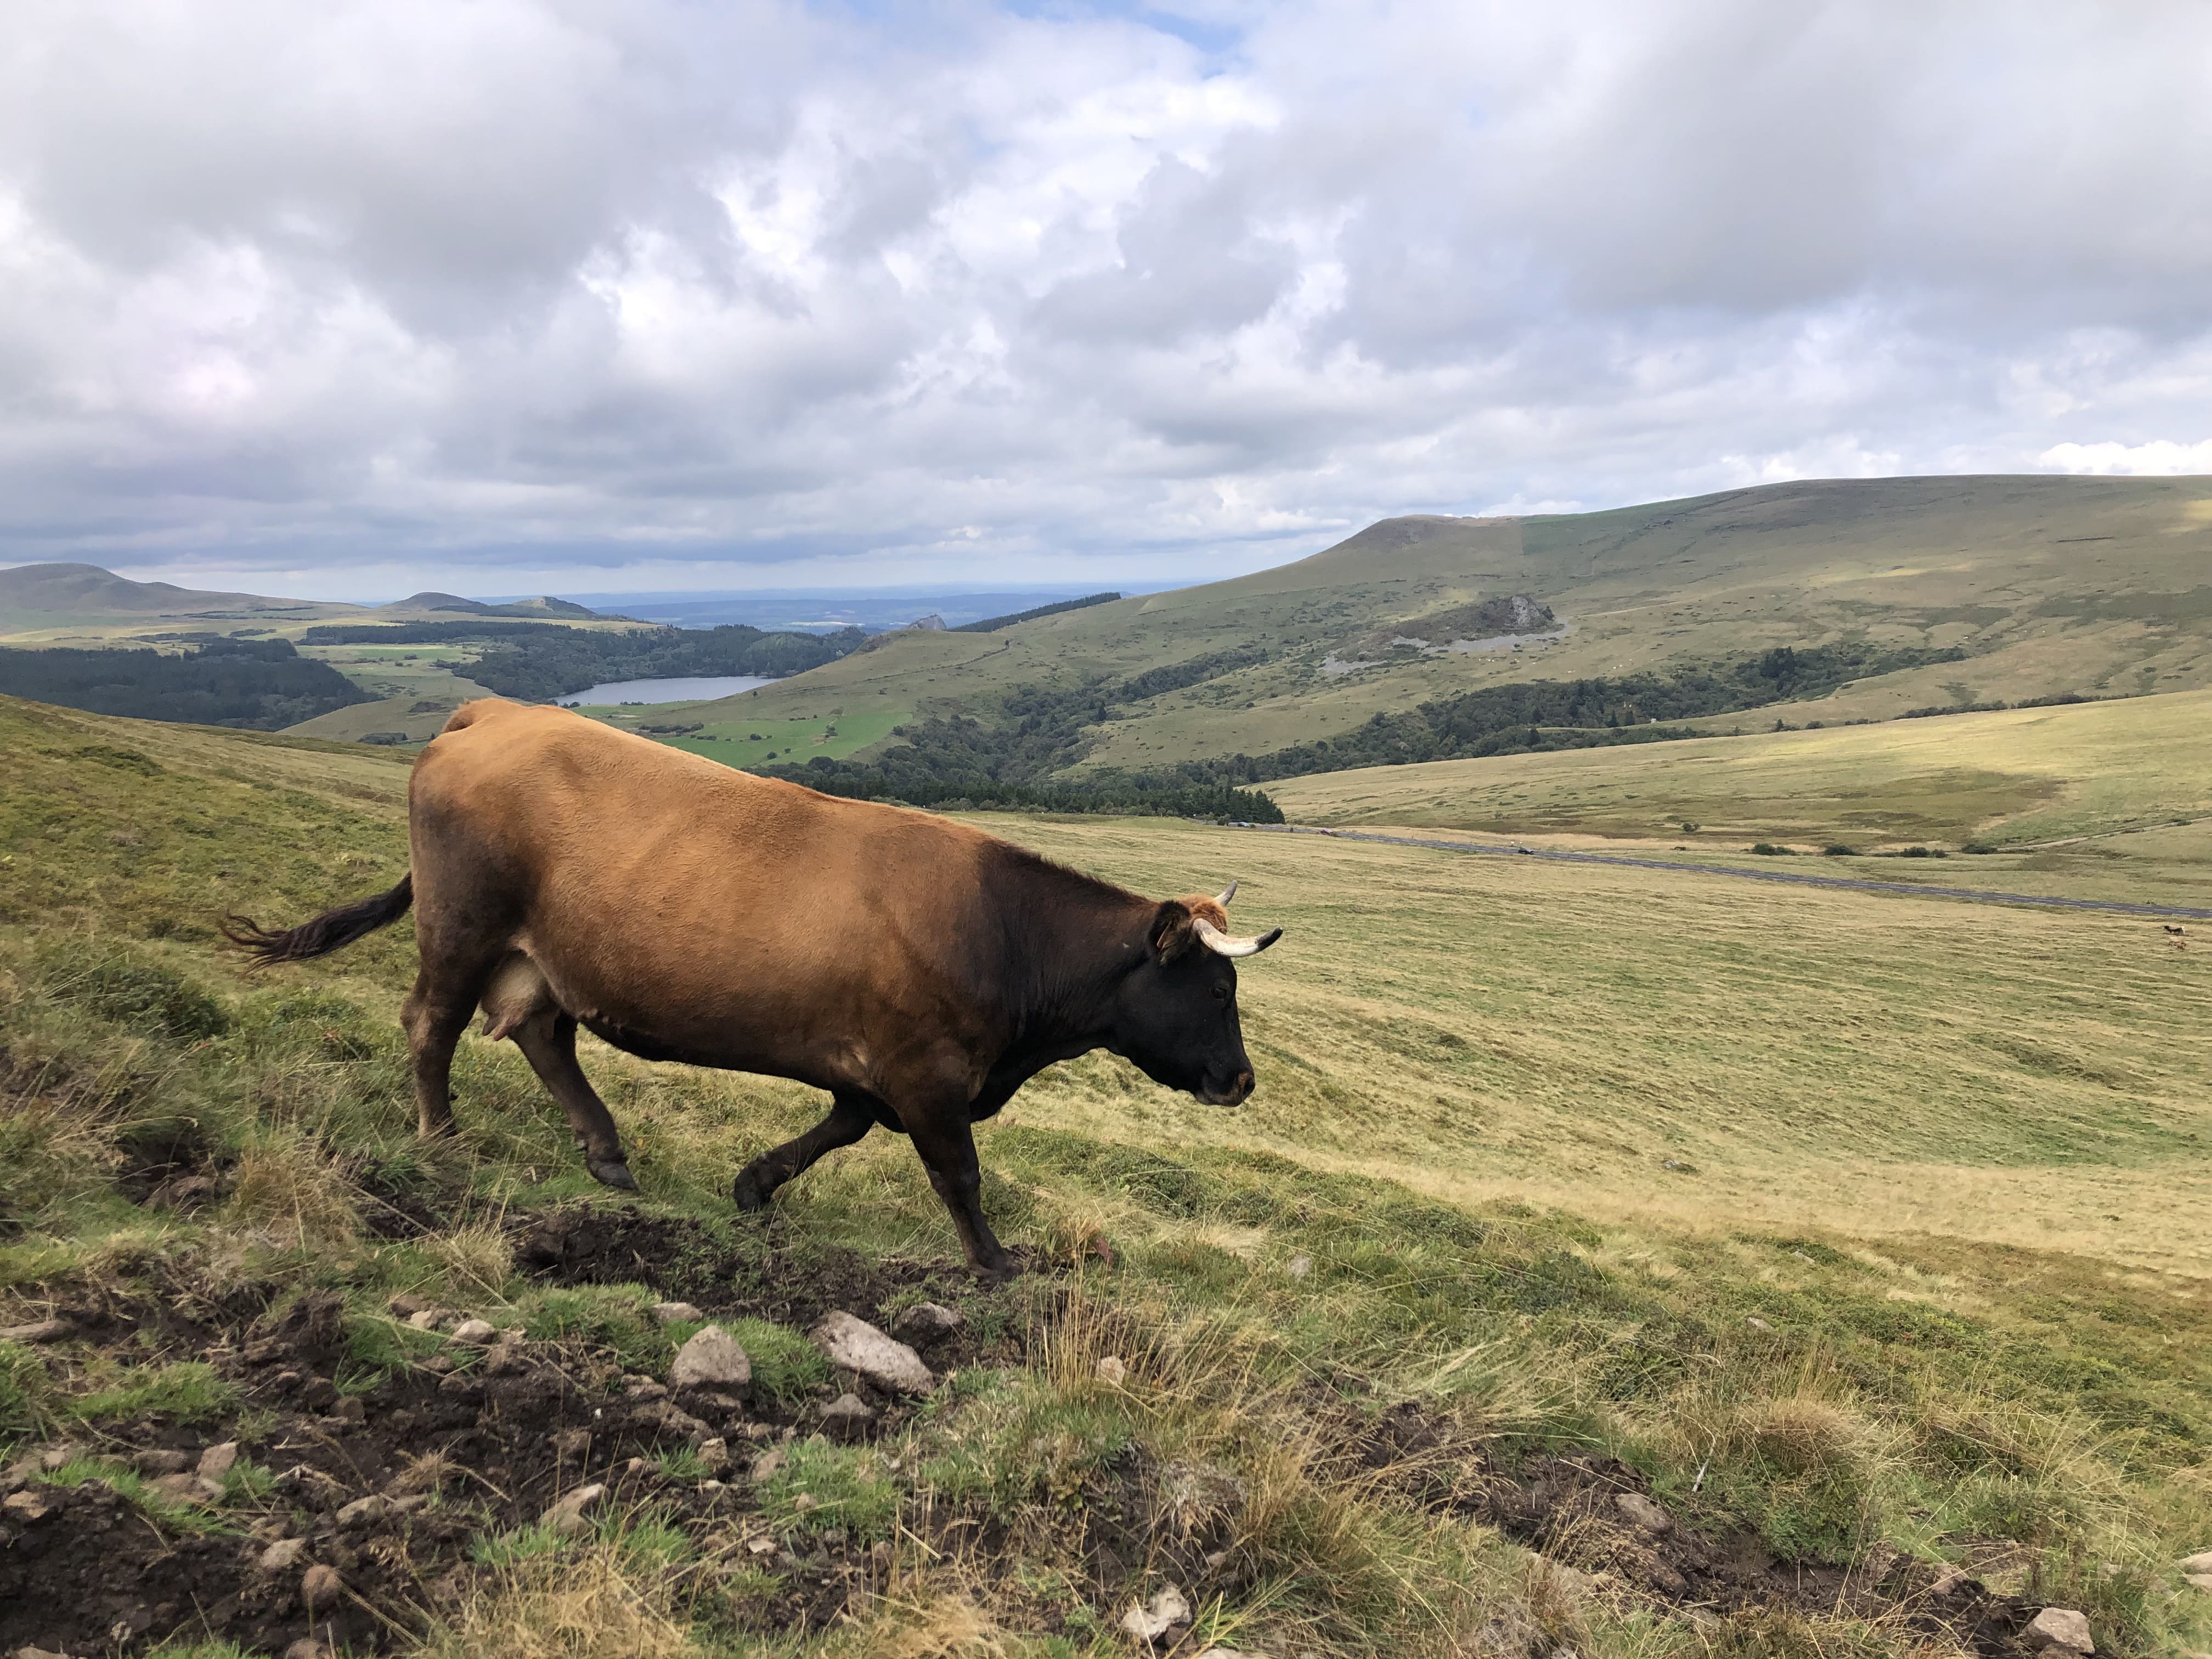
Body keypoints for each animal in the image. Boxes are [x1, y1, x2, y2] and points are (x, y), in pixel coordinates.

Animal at [224, 695, 1283, 1283]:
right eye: (1216, 992)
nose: (1241, 1080)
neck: (1007, 938)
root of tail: (493, 712)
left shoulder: (876, 1065)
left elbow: (840, 1127)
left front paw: (754, 1183)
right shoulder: (929, 1070)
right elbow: (958, 1172)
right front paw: (994, 1262)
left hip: (545, 949)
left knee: (540, 1031)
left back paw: (607, 1154)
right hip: (462, 922)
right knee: (432, 1020)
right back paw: (442, 1137)